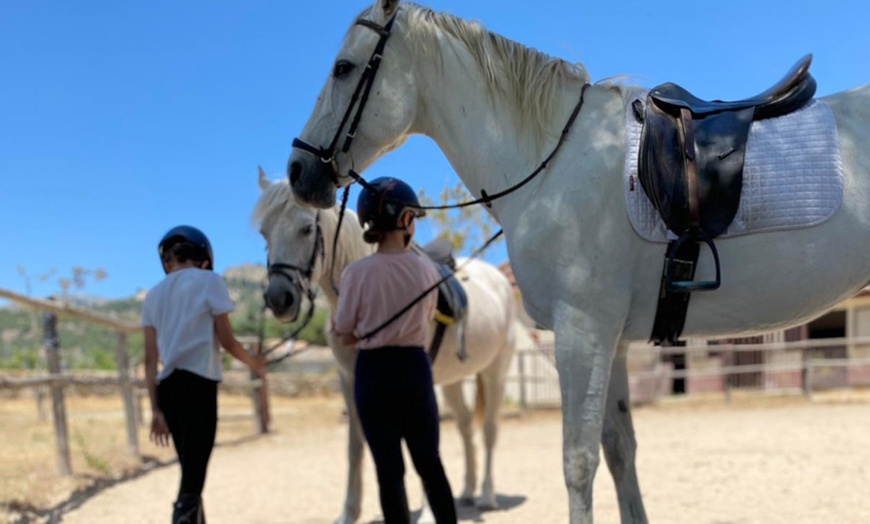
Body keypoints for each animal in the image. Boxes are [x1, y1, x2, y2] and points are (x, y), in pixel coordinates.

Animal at [255, 173, 520, 524]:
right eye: (264, 232)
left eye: (307, 229)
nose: (278, 299)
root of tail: (497, 281)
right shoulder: (351, 380)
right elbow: (356, 446)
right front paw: (349, 512)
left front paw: (425, 514)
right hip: (452, 382)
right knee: (465, 427)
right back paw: (466, 490)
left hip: (495, 372)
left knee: (489, 430)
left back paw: (487, 497)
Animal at [286, 1, 870, 520]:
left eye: (343, 68)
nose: (298, 170)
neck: (552, 160)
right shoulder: (612, 341)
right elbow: (619, 452)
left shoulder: (582, 332)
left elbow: (578, 463)